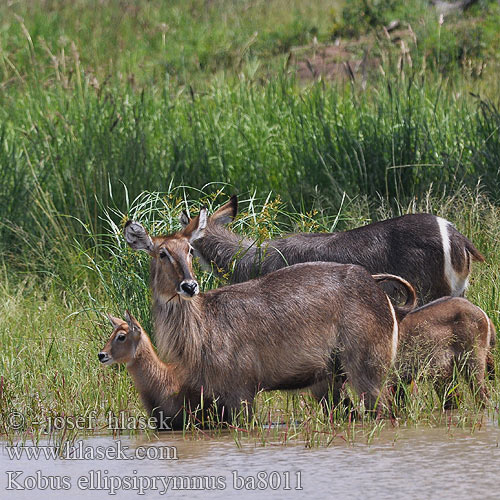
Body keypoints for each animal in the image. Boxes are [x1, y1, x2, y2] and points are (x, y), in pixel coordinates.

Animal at [124, 215, 414, 414]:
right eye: (162, 253)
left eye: (190, 250)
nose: (189, 286)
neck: (203, 324)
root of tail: (375, 287)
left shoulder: (240, 391)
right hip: (328, 380)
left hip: (368, 368)